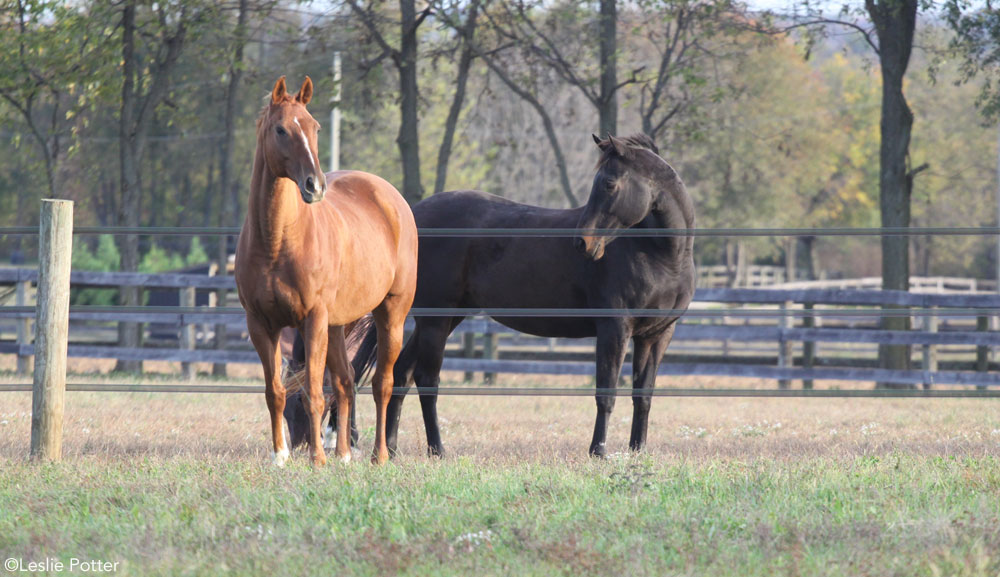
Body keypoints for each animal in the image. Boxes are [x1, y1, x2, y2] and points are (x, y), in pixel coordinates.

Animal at [236, 75, 416, 464]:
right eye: (280, 129)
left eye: (315, 127)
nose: (314, 185)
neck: (277, 240)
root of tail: (389, 196)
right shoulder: (261, 324)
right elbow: (276, 391)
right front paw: (280, 456)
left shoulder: (313, 318)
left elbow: (314, 392)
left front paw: (317, 459)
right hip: (337, 325)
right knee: (346, 381)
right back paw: (344, 454)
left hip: (390, 314)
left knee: (382, 383)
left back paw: (379, 455)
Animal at [290, 133, 696, 456]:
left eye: (609, 184)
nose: (583, 243)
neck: (658, 254)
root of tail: (407, 217)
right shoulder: (614, 329)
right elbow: (606, 393)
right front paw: (598, 451)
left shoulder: (657, 335)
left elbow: (644, 394)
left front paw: (637, 450)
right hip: (436, 320)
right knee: (426, 379)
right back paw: (437, 449)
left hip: (444, 319)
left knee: (401, 374)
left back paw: (390, 446)